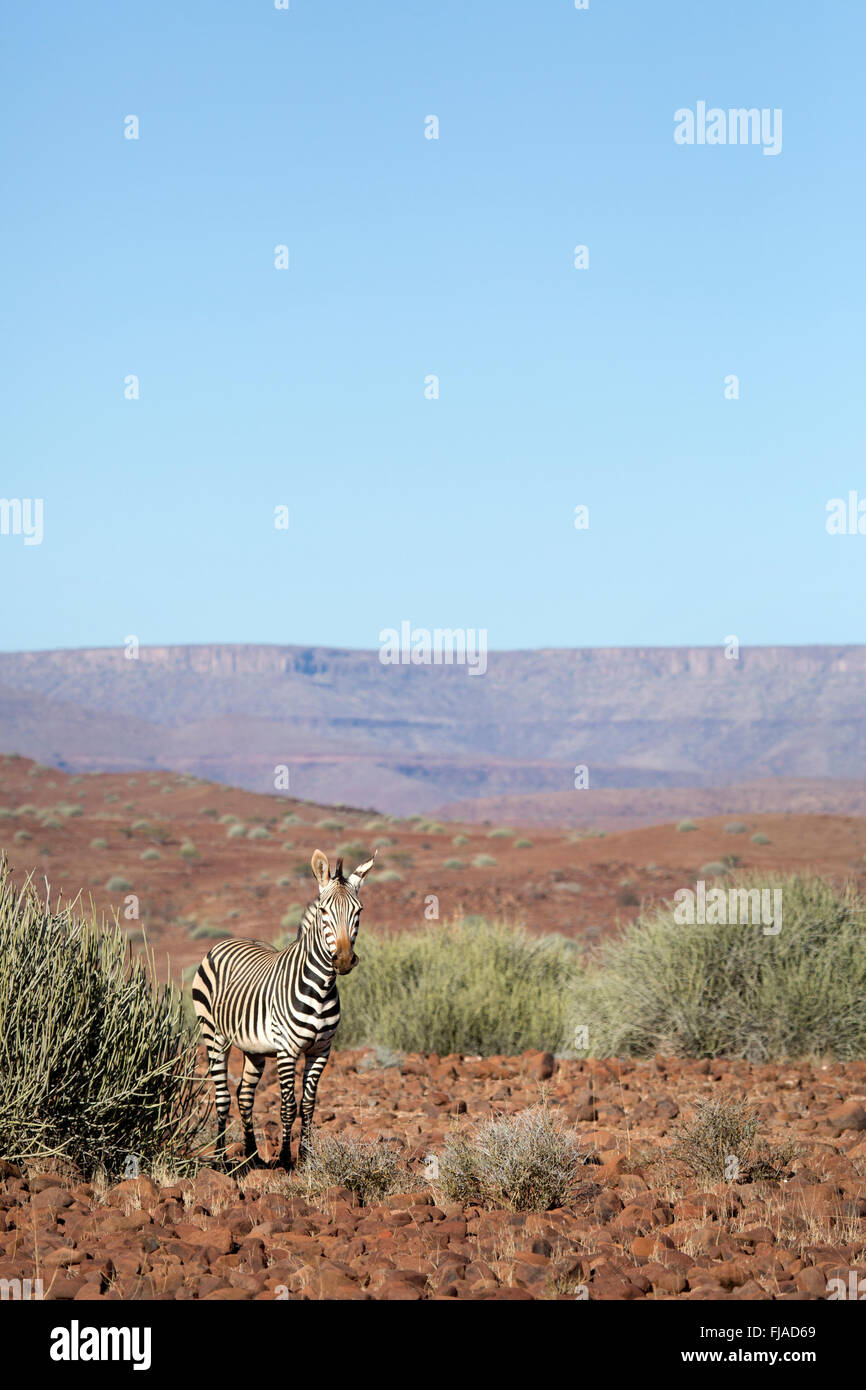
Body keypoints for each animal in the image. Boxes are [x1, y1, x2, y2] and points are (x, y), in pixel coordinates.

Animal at [192, 848, 375, 1170]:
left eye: (359, 911)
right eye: (324, 912)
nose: (343, 959)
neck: (321, 987)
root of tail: (227, 940)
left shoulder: (321, 1051)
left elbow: (308, 1104)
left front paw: (306, 1157)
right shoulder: (287, 1050)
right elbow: (288, 1105)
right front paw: (287, 1159)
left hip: (253, 1049)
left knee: (244, 1095)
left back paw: (253, 1155)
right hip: (213, 1035)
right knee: (223, 1096)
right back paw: (220, 1159)